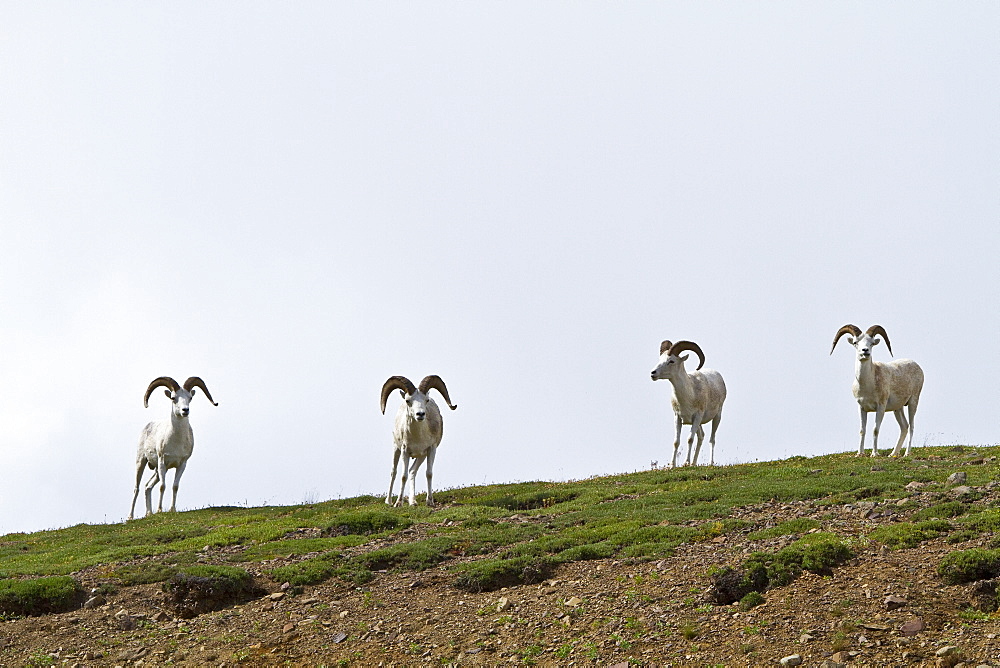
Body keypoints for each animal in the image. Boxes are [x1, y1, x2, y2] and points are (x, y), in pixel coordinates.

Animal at [128, 376, 218, 520]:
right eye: (173, 398)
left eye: (189, 397)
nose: (185, 410)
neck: (176, 441)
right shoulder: (162, 463)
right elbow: (162, 486)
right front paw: (159, 510)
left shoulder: (181, 464)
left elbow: (175, 486)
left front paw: (172, 509)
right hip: (141, 462)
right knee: (136, 488)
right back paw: (130, 517)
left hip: (156, 471)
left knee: (147, 487)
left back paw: (149, 513)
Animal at [378, 376, 458, 506]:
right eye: (408, 400)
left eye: (426, 400)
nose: (420, 414)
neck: (418, 437)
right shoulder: (405, 451)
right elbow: (403, 476)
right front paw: (398, 503)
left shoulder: (431, 450)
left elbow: (428, 473)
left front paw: (430, 502)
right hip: (396, 449)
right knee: (394, 472)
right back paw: (389, 501)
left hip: (421, 457)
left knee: (412, 471)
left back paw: (413, 502)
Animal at [828, 324, 920, 460]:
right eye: (855, 342)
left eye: (871, 343)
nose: (865, 351)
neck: (867, 385)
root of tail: (917, 366)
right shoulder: (862, 408)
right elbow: (862, 430)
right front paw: (859, 453)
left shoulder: (880, 407)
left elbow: (875, 429)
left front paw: (874, 454)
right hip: (898, 409)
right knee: (904, 427)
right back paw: (893, 454)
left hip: (913, 402)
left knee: (912, 426)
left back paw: (906, 453)